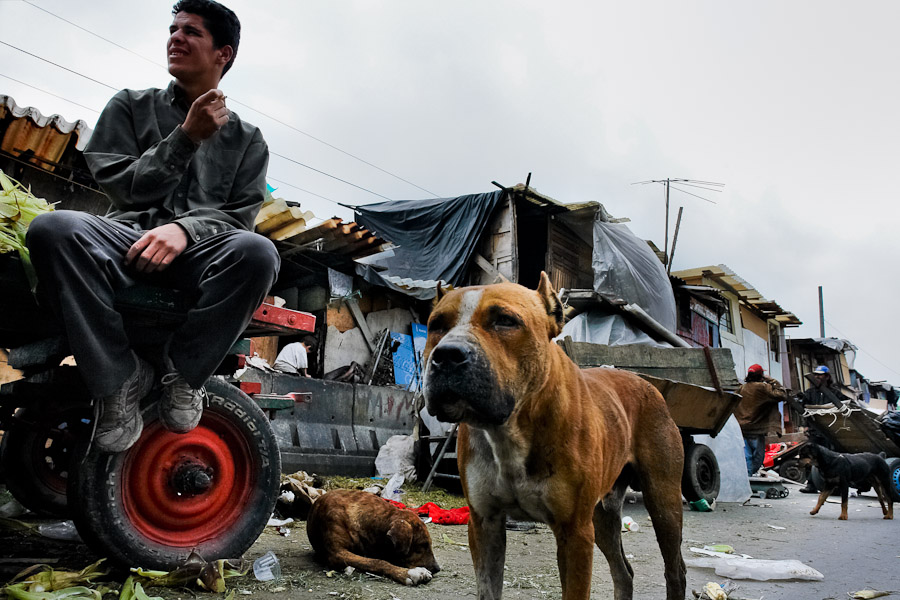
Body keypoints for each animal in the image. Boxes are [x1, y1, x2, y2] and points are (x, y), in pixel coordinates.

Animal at [426, 274, 684, 596]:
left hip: (664, 502)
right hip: (602, 516)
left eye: (505, 321)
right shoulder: (485, 524)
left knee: (675, 569)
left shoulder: (575, 532)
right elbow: (488, 587)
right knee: (623, 571)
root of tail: (645, 382)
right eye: (435, 325)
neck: (509, 429)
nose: (446, 355)